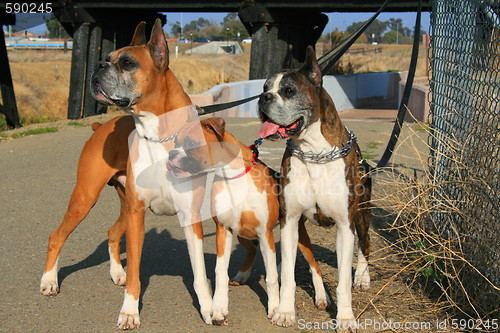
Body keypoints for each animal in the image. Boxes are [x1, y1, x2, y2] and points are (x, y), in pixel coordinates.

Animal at [40, 19, 215, 328]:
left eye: (127, 62)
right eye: (108, 58)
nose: (98, 65)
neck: (159, 133)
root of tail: (100, 127)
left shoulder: (190, 216)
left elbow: (200, 274)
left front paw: (208, 308)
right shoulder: (137, 215)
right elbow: (136, 271)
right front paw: (130, 311)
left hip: (123, 203)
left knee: (112, 232)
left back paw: (116, 272)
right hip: (86, 198)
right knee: (56, 236)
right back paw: (49, 280)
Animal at [258, 46, 372, 330]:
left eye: (288, 90)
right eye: (265, 87)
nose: (263, 98)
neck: (313, 150)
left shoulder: (345, 225)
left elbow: (343, 281)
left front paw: (345, 317)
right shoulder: (289, 222)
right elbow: (289, 276)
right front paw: (285, 311)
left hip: (362, 216)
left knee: (366, 246)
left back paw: (363, 277)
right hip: (300, 229)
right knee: (311, 262)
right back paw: (320, 295)